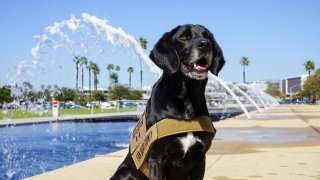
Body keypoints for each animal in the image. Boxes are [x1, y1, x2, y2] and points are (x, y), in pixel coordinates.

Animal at [112, 25, 225, 180]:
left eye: (207, 36)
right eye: (183, 37)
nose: (205, 44)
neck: (186, 98)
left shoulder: (200, 158)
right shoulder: (157, 159)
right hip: (124, 171)